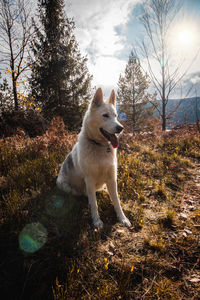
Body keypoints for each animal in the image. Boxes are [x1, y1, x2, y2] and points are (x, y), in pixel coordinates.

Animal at [56, 88, 131, 229]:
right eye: (105, 115)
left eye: (115, 115)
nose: (120, 128)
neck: (100, 146)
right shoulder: (89, 180)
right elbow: (94, 204)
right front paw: (96, 221)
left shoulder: (112, 178)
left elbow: (117, 201)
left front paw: (122, 218)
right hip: (67, 187)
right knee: (84, 194)